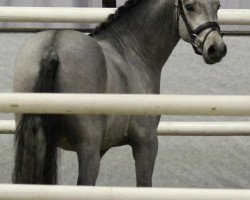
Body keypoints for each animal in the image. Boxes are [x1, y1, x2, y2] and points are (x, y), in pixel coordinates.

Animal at [11, 0, 227, 187]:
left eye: (217, 6)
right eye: (190, 6)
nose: (216, 48)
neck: (130, 51)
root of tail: (52, 47)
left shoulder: (103, 147)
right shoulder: (146, 142)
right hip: (87, 149)